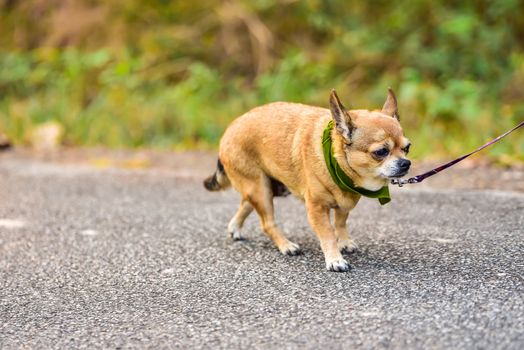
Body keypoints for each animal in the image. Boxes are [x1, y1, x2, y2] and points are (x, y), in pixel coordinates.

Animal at [203, 88, 412, 270]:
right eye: (381, 152)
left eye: (407, 148)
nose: (406, 163)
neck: (337, 162)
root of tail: (230, 128)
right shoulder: (317, 209)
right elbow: (328, 233)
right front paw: (335, 259)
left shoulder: (344, 204)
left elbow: (340, 223)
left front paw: (344, 242)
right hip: (260, 189)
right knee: (267, 223)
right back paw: (286, 245)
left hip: (266, 188)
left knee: (246, 204)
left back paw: (235, 228)